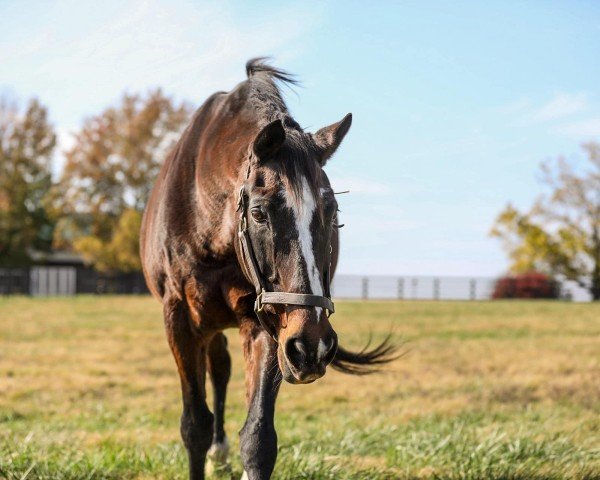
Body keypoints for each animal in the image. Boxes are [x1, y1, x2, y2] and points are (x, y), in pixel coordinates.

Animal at [138, 58, 396, 478]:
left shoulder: (268, 324)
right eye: (259, 212)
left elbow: (258, 438)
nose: (313, 347)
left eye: (332, 213)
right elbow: (194, 426)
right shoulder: (179, 318)